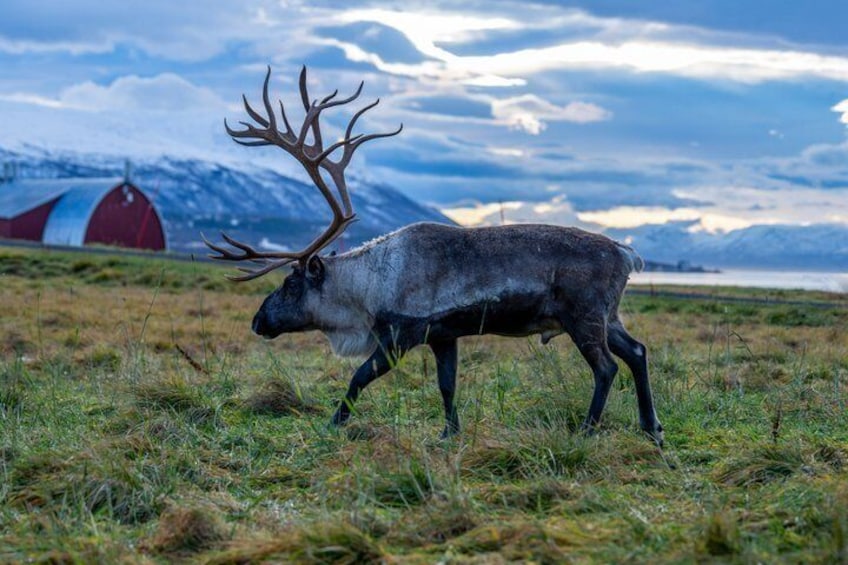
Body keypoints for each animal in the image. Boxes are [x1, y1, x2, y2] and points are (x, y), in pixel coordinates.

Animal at [205, 67, 664, 446]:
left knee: (606, 367)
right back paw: (652, 429)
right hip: (607, 316)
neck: (370, 284)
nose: (258, 321)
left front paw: (333, 424)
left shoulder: (400, 334)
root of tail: (627, 254)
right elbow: (447, 385)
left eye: (290, 283)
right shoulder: (444, 335)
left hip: (582, 316)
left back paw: (588, 430)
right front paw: (449, 433)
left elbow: (359, 377)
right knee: (637, 352)